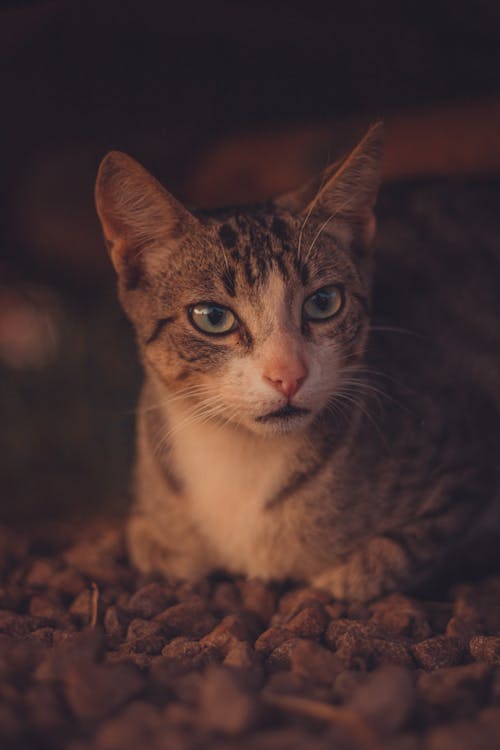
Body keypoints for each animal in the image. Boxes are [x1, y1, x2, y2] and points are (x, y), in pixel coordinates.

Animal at [94, 125, 500, 604]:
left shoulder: (464, 468)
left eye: (323, 302)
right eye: (212, 317)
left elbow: (395, 554)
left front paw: (335, 578)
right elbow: (151, 543)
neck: (241, 454)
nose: (288, 375)